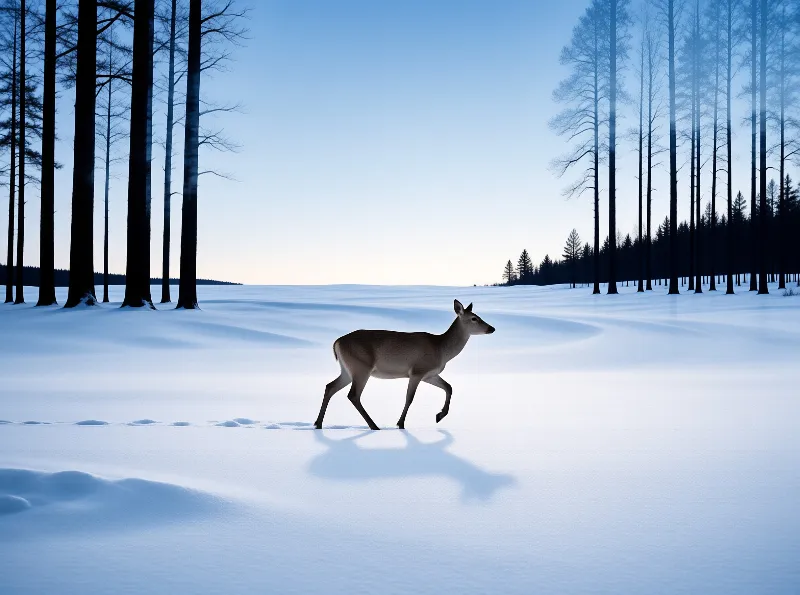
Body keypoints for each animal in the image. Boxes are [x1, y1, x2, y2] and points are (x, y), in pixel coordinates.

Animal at [314, 300, 495, 430]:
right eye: (474, 318)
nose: (491, 328)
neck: (441, 349)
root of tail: (337, 342)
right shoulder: (417, 370)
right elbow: (409, 397)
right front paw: (400, 423)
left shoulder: (430, 374)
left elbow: (449, 387)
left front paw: (439, 415)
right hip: (361, 366)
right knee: (353, 395)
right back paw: (374, 426)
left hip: (347, 370)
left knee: (330, 386)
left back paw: (318, 423)